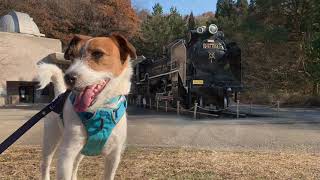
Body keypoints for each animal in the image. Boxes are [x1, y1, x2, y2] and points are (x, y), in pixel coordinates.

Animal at [37, 33, 136, 180]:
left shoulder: (114, 156)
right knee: (45, 165)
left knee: (75, 166)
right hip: (50, 140)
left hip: (82, 151)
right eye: (72, 57)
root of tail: (59, 94)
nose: (68, 77)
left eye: (97, 54)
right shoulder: (67, 154)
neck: (100, 110)